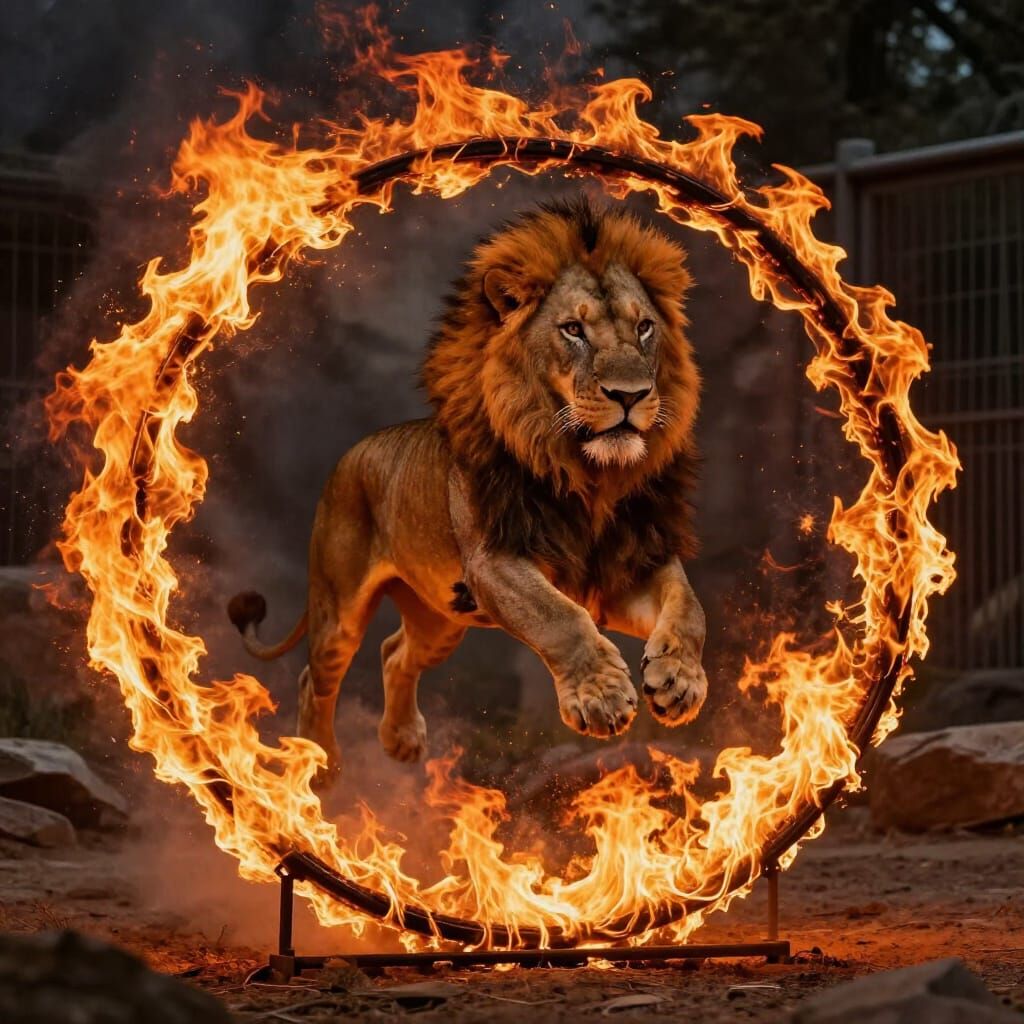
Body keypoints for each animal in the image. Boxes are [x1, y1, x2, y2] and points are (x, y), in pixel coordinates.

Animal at [228, 196, 708, 775]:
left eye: (644, 328)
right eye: (573, 329)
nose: (631, 394)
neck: (589, 475)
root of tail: (353, 450)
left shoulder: (626, 566)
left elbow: (690, 606)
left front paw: (680, 681)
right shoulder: (495, 562)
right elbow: (561, 619)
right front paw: (601, 696)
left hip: (438, 618)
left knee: (395, 654)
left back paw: (402, 740)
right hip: (338, 609)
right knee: (313, 679)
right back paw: (320, 767)